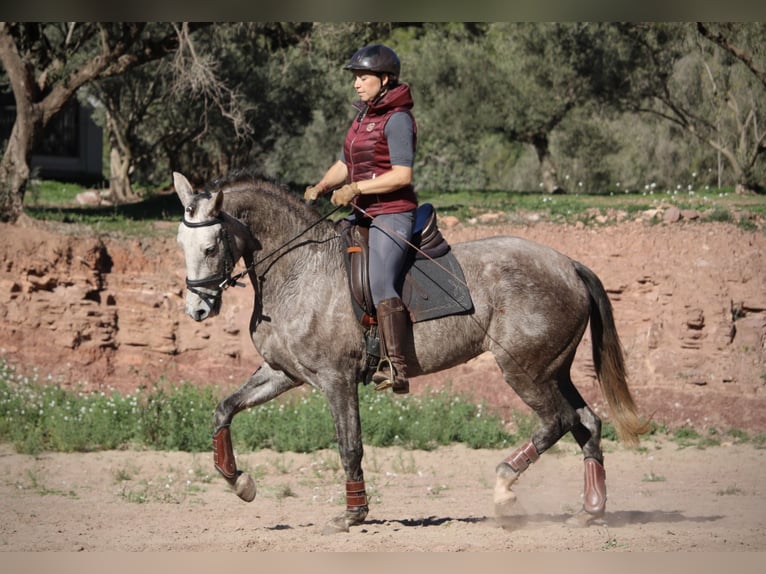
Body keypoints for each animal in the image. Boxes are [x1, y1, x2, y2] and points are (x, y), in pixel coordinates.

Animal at [172, 170, 648, 536]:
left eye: (211, 247)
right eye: (181, 244)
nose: (197, 309)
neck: (300, 270)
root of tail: (568, 264)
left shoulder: (336, 380)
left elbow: (350, 446)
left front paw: (353, 514)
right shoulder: (281, 373)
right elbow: (224, 409)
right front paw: (239, 482)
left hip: (524, 371)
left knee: (558, 421)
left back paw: (504, 487)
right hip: (553, 370)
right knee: (587, 423)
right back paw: (591, 509)